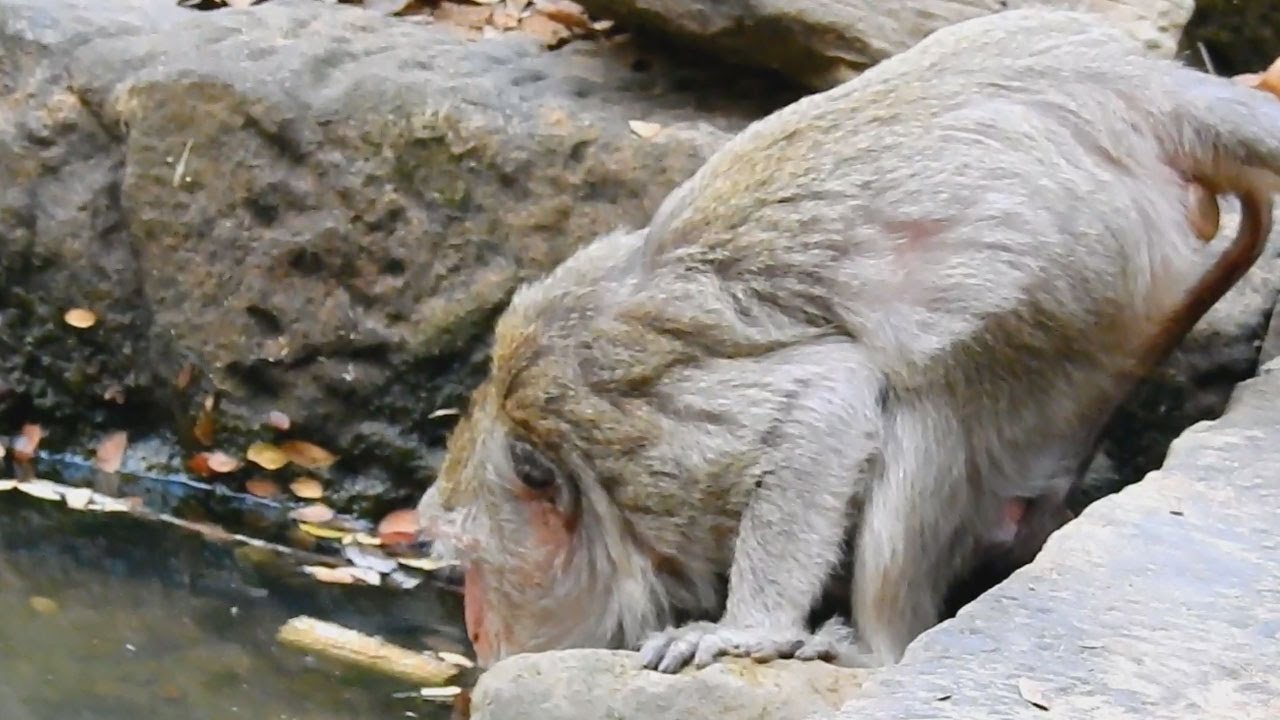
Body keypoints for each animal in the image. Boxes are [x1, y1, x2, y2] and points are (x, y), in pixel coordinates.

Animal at [416, 8, 1280, 674]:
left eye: (473, 567)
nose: (476, 631)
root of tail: (1134, 87)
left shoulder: (643, 446)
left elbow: (822, 403)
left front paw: (744, 631)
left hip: (1081, 264)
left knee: (929, 406)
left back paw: (877, 647)